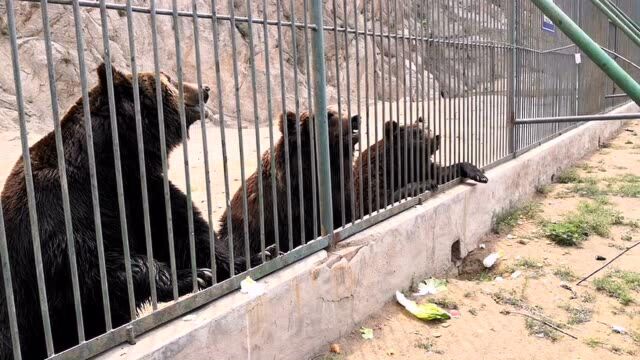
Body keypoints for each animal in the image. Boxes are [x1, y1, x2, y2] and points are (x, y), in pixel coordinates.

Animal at [0, 64, 238, 358]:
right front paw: (191, 276)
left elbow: (184, 231)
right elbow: (93, 264)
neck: (110, 163)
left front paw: (250, 256)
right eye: (169, 79)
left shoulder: (139, 191)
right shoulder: (59, 210)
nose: (204, 88)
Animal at [352, 117, 488, 217]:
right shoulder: (375, 174)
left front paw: (479, 174)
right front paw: (428, 183)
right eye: (418, 133)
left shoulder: (422, 166)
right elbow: (379, 200)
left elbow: (442, 172)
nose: (437, 136)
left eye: (429, 127)